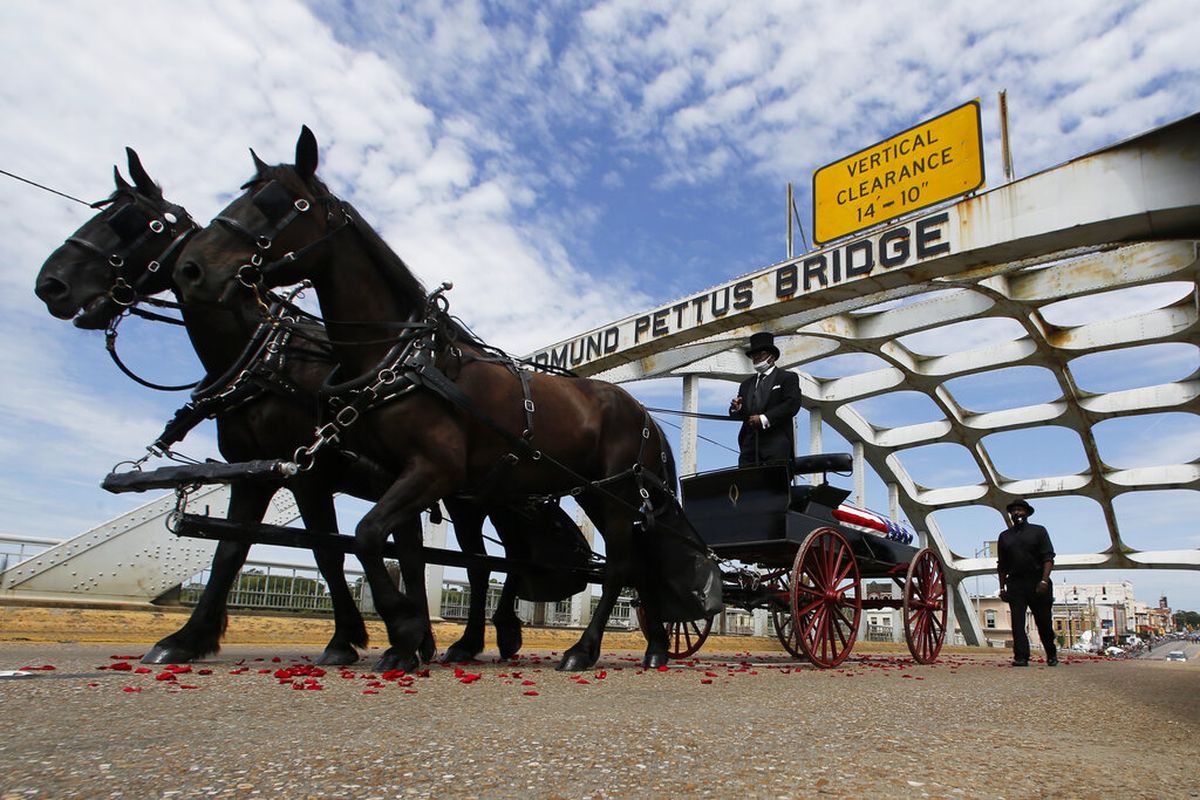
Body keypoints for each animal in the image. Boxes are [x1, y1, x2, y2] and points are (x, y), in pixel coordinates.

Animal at [32, 151, 528, 671]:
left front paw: (347, 639)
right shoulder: (253, 472)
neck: (269, 358)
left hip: (485, 498)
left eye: (133, 222)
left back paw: (480, 637)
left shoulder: (309, 476)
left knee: (490, 562)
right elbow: (232, 549)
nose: (51, 285)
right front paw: (188, 638)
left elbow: (328, 553)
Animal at [171, 128, 700, 671]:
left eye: (281, 204)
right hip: (590, 493)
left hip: (611, 493)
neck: (401, 355)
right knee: (634, 563)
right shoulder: (394, 477)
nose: (191, 268)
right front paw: (412, 637)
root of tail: (645, 414)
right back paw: (656, 646)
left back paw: (585, 649)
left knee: (618, 565)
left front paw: (402, 630)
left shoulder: (430, 471)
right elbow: (394, 550)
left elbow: (365, 535)